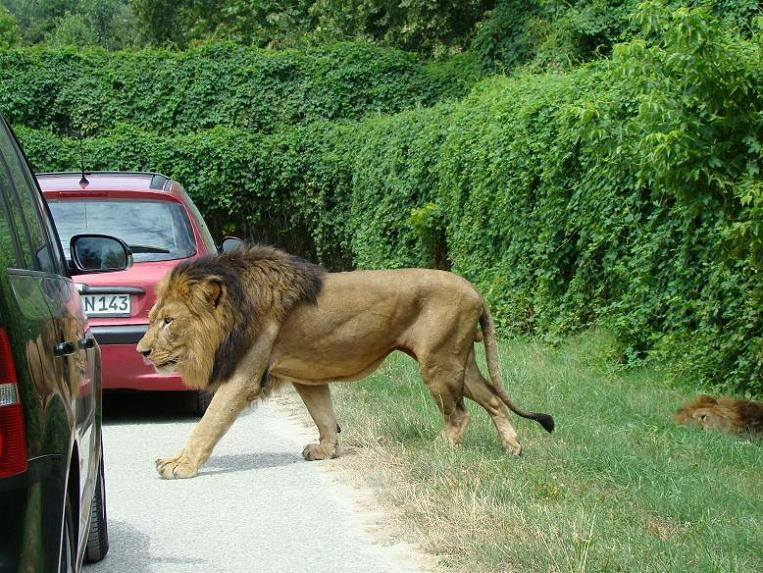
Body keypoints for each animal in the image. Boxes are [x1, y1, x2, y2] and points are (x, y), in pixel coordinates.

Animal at [136, 244, 554, 479]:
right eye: (153, 317)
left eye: (168, 321)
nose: (142, 350)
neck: (236, 308)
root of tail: (476, 291)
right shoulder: (306, 376)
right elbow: (324, 417)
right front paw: (326, 451)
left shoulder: (243, 377)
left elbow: (207, 426)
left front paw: (180, 466)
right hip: (458, 361)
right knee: (494, 400)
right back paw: (513, 449)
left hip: (438, 364)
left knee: (460, 415)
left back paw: (438, 449)